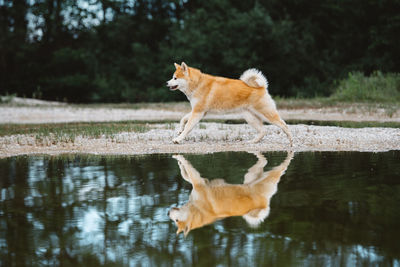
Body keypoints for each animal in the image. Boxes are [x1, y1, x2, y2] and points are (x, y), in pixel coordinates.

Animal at [167, 152, 296, 238]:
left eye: (177, 221)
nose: (168, 213)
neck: (196, 211)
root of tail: (265, 203)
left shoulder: (198, 182)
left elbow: (187, 169)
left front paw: (179, 158)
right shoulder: (202, 181)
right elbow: (185, 175)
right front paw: (179, 162)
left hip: (268, 177)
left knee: (281, 168)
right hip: (252, 175)